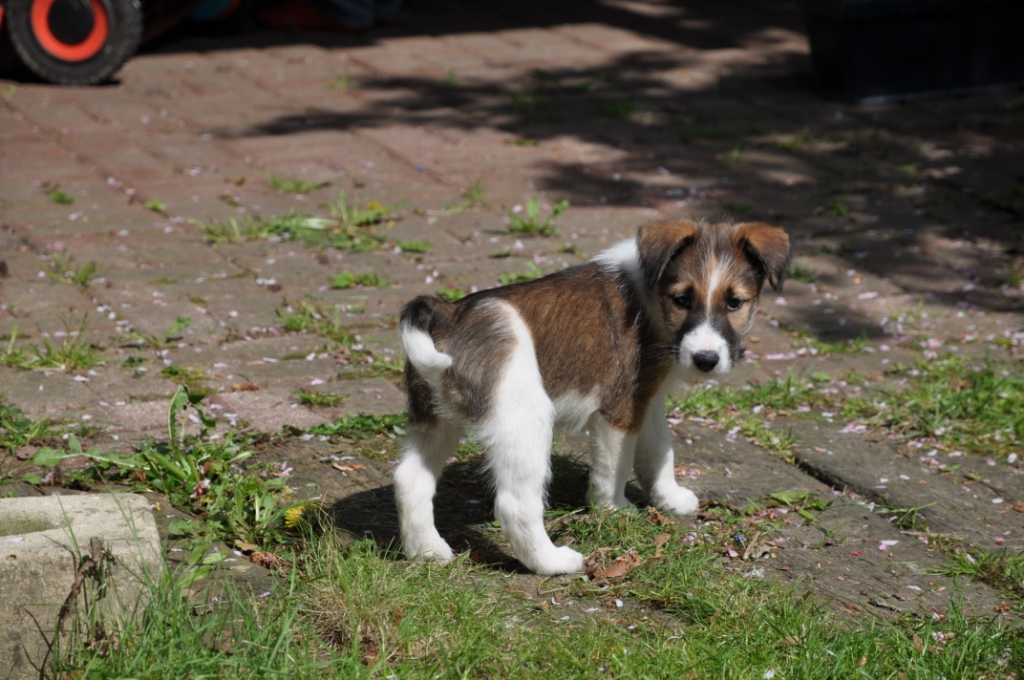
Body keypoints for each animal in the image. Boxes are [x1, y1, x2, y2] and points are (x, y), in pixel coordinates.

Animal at [393, 218, 790, 573]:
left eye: (734, 303)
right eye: (681, 300)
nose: (705, 359)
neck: (651, 295)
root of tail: (446, 315)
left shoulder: (645, 400)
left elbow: (659, 450)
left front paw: (669, 497)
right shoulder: (620, 410)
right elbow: (615, 468)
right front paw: (612, 510)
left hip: (435, 421)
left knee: (410, 480)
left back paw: (427, 552)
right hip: (525, 420)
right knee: (514, 504)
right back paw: (553, 562)